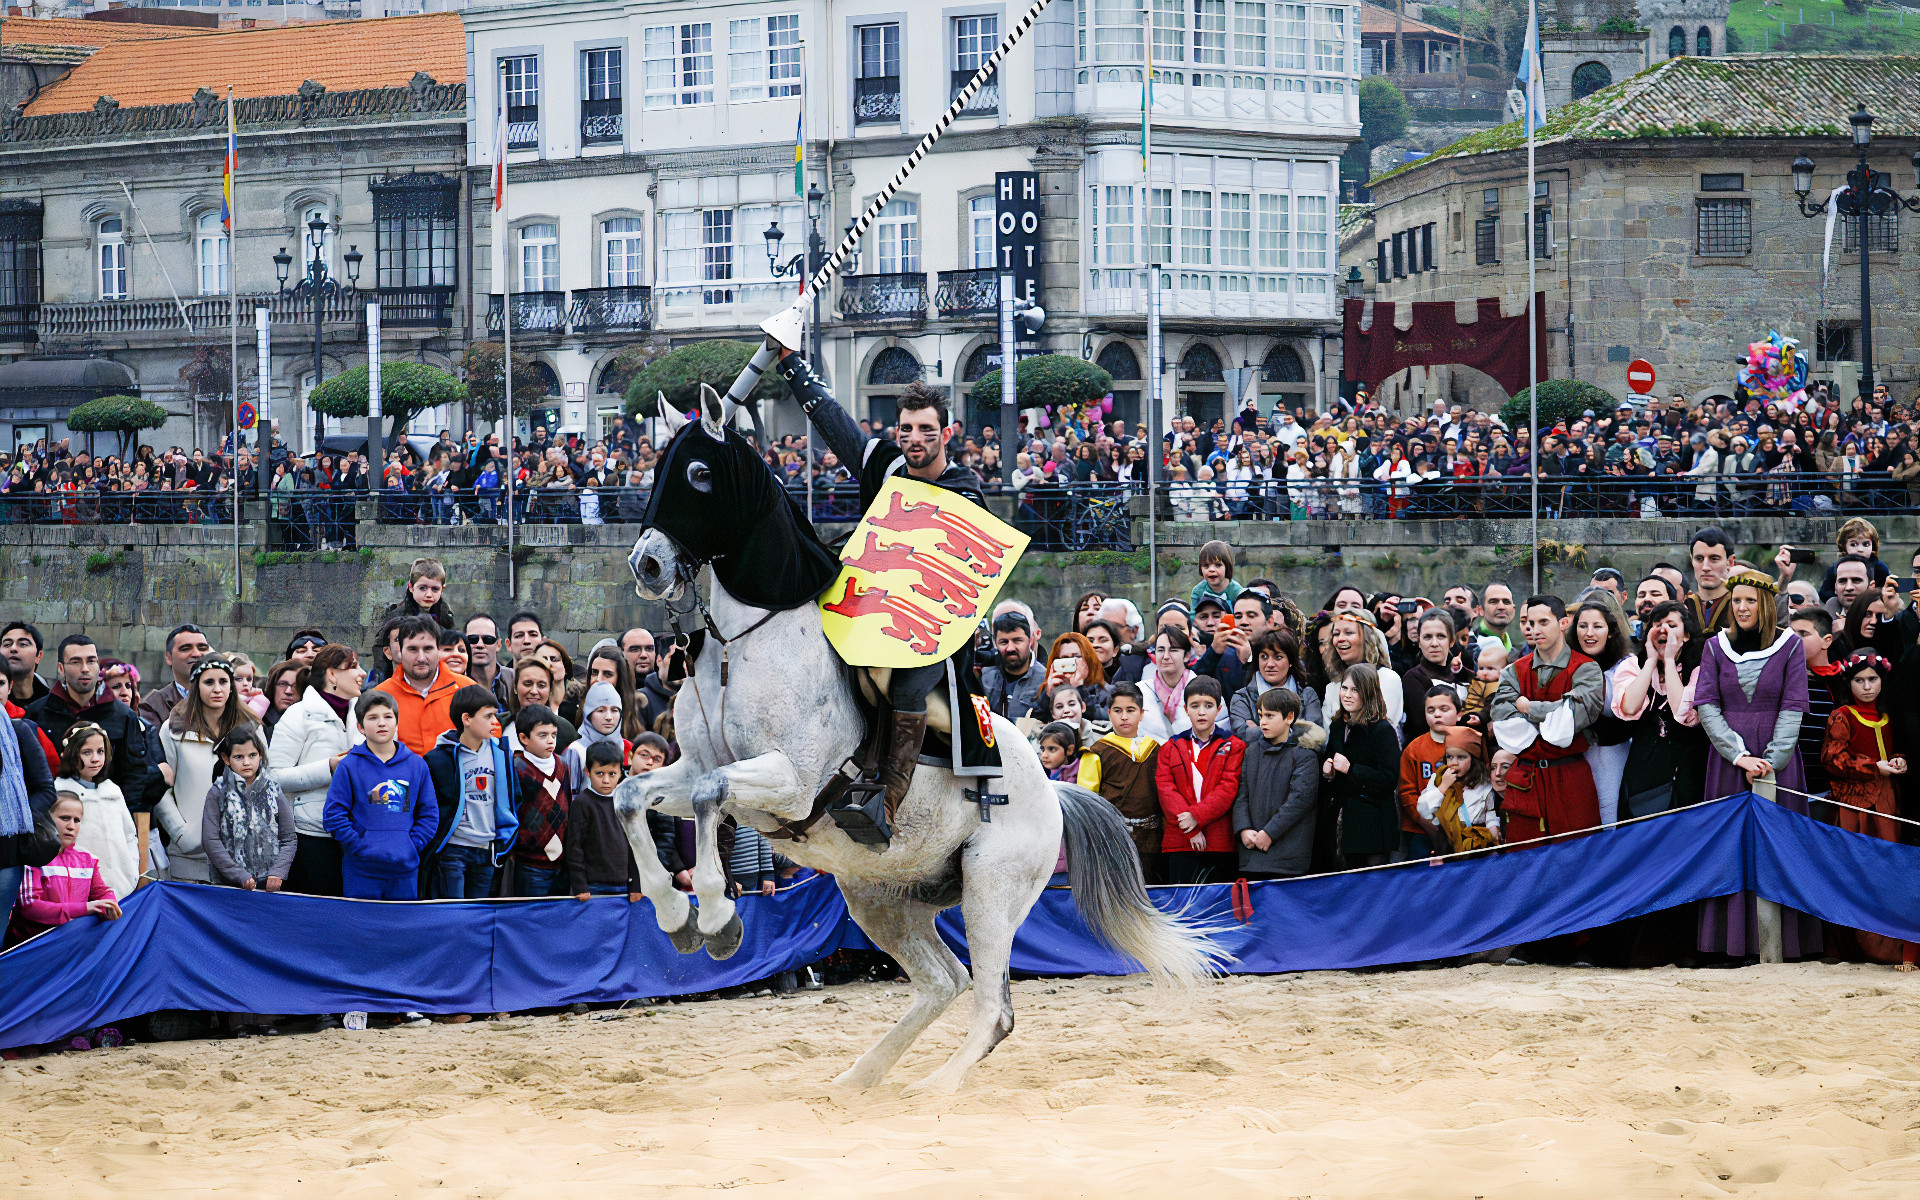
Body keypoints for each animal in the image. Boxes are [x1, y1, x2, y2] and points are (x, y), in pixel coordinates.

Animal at [606, 385, 1221, 1098]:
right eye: (658, 467)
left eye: (701, 473)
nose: (646, 564)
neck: (746, 645)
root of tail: (1053, 794)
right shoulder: (695, 771)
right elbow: (631, 796)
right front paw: (675, 916)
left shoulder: (792, 783)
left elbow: (709, 795)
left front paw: (714, 918)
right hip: (878, 894)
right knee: (942, 982)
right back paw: (857, 1079)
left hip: (989, 891)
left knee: (992, 1007)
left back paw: (936, 1086)